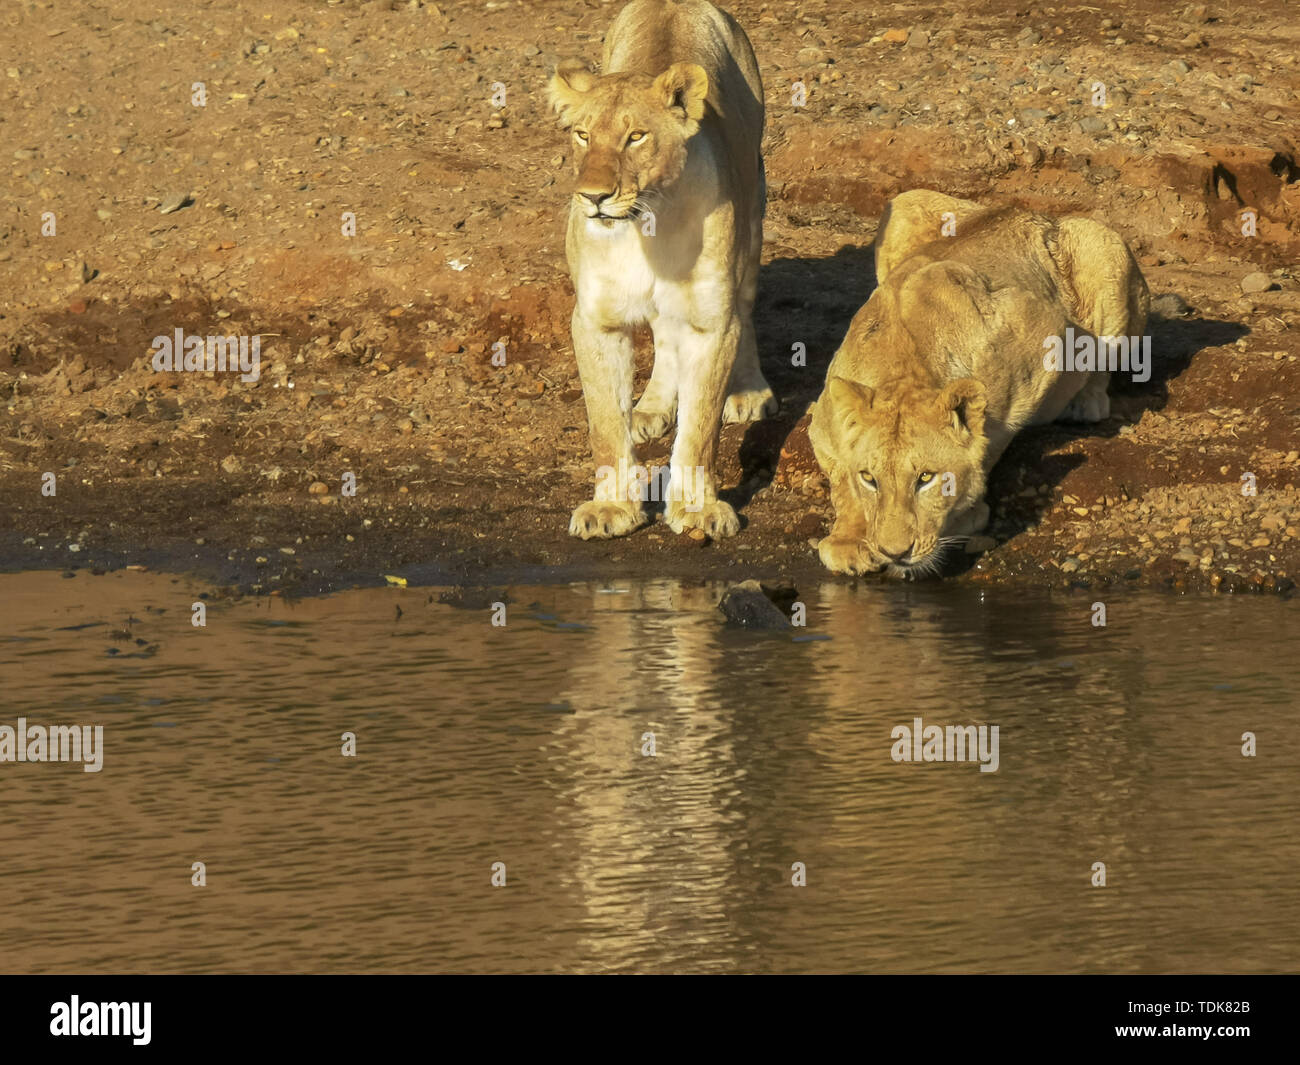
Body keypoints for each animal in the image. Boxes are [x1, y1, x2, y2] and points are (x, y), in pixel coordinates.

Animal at [548, 0, 775, 540]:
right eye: (582, 134)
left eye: (636, 137)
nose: (593, 197)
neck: (644, 228)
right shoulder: (596, 321)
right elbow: (605, 425)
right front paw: (612, 508)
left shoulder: (712, 323)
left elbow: (701, 429)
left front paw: (696, 509)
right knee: (665, 338)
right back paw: (650, 407)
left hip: (754, 211)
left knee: (746, 305)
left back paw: (749, 391)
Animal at [809, 189, 1150, 577]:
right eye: (870, 478)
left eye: (926, 478)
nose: (895, 552)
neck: (903, 368)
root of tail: (1030, 212)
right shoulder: (821, 423)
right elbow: (842, 482)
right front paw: (848, 542)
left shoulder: (1042, 333)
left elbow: (992, 439)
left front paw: (968, 511)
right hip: (903, 204)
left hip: (1103, 246)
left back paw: (1085, 402)